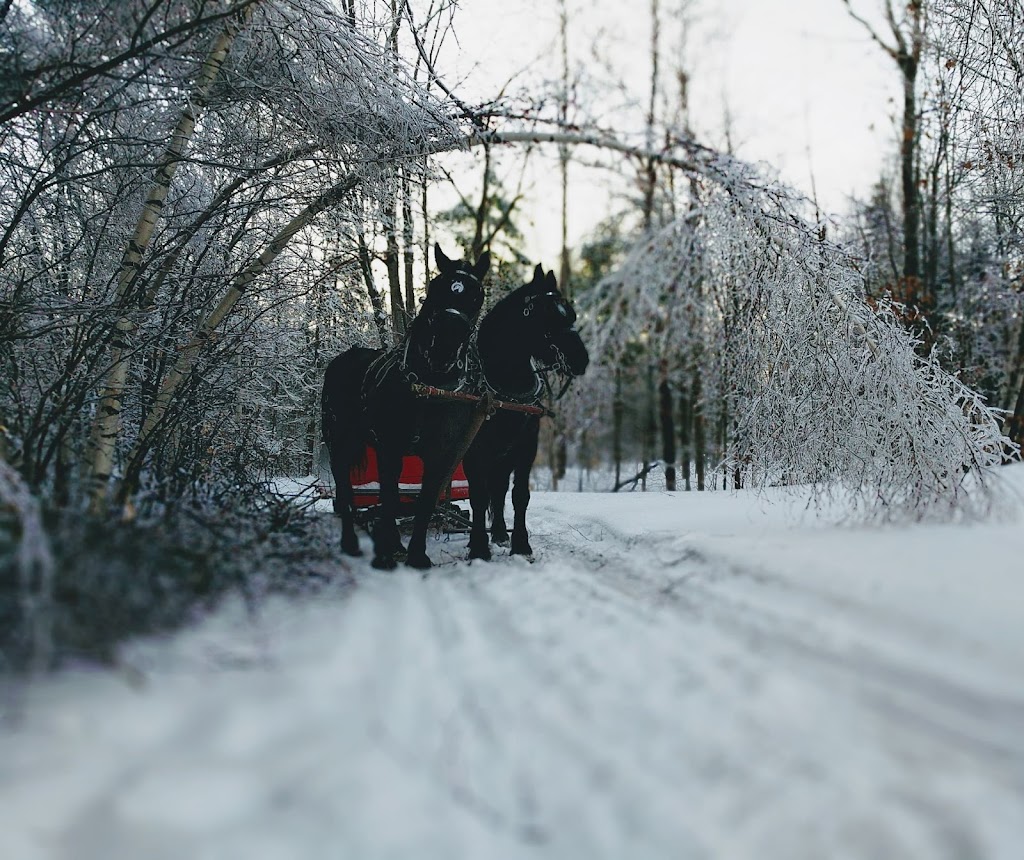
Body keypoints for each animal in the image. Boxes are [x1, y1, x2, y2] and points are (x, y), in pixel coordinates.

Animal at [323, 245, 491, 569]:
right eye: (435, 287)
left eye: (478, 296)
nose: (444, 347)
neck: (428, 386)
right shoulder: (390, 447)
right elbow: (389, 497)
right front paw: (387, 553)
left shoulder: (440, 454)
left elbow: (423, 501)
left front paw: (416, 554)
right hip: (340, 439)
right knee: (345, 486)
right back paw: (351, 542)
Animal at [462, 266, 589, 561]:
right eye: (548, 315)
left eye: (571, 314)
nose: (581, 359)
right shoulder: (473, 450)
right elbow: (477, 496)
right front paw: (478, 547)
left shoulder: (526, 446)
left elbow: (519, 495)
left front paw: (520, 543)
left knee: (499, 489)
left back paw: (499, 532)